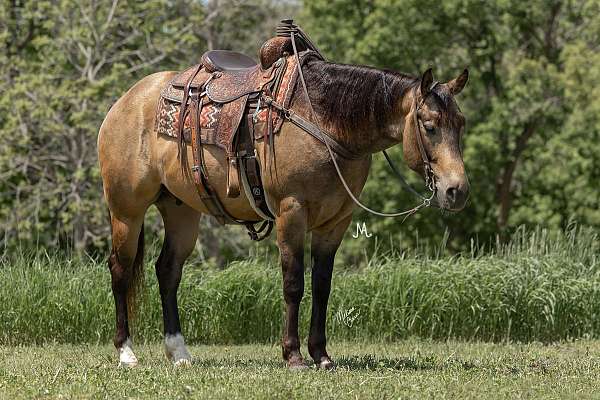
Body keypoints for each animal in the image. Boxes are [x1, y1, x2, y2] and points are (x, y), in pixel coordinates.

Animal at [97, 20, 468, 368]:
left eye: (461, 124)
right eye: (430, 126)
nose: (457, 190)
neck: (323, 121)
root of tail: (125, 102)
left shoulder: (335, 222)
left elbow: (322, 286)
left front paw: (321, 355)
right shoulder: (291, 212)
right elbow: (293, 283)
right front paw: (293, 354)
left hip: (181, 211)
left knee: (168, 271)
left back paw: (179, 352)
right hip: (127, 211)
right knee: (120, 268)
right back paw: (126, 352)